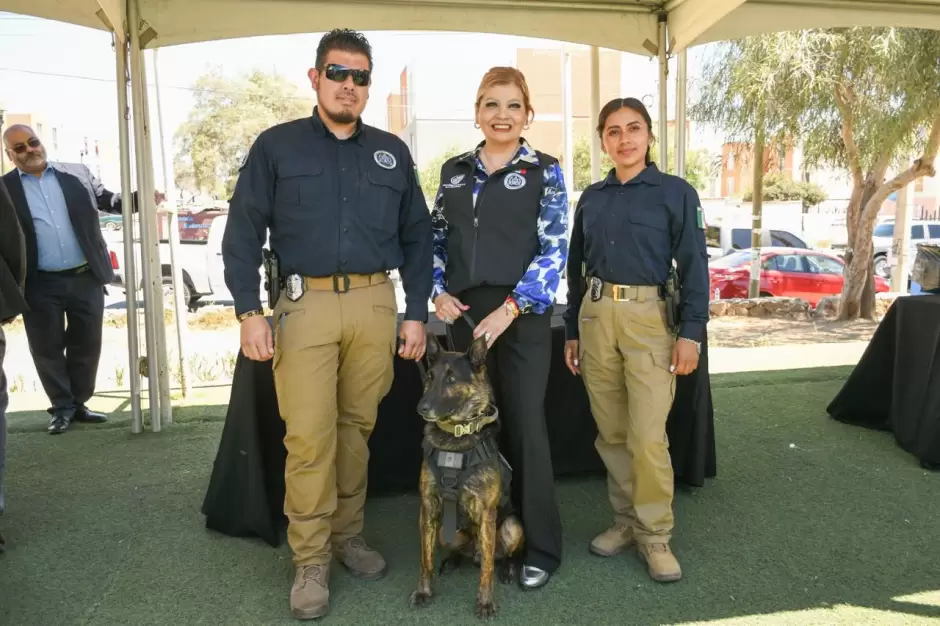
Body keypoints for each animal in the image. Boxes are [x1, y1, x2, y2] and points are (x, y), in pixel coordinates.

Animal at [408, 330, 524, 616]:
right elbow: (425, 559)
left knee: (504, 555)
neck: (456, 436)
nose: (421, 407)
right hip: (445, 531)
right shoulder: (428, 506)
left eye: (451, 378)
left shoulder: (486, 511)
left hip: (512, 526)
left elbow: (487, 569)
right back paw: (453, 560)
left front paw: (485, 602)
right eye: (430, 376)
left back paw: (508, 569)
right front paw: (424, 591)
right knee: (458, 549)